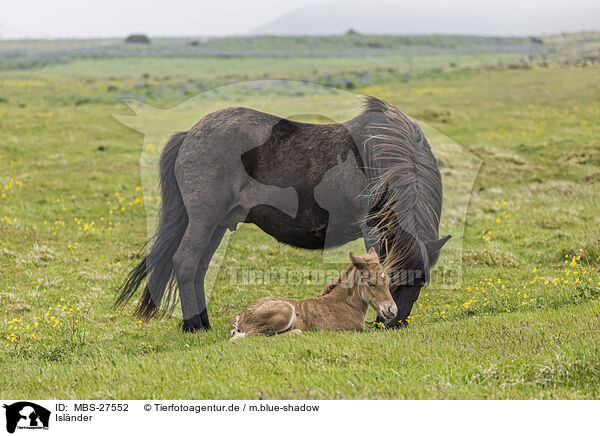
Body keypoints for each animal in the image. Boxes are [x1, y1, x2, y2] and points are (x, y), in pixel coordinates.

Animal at [232, 247, 396, 338]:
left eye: (388, 281)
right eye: (371, 283)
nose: (392, 310)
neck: (346, 304)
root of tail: (242, 315)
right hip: (286, 310)